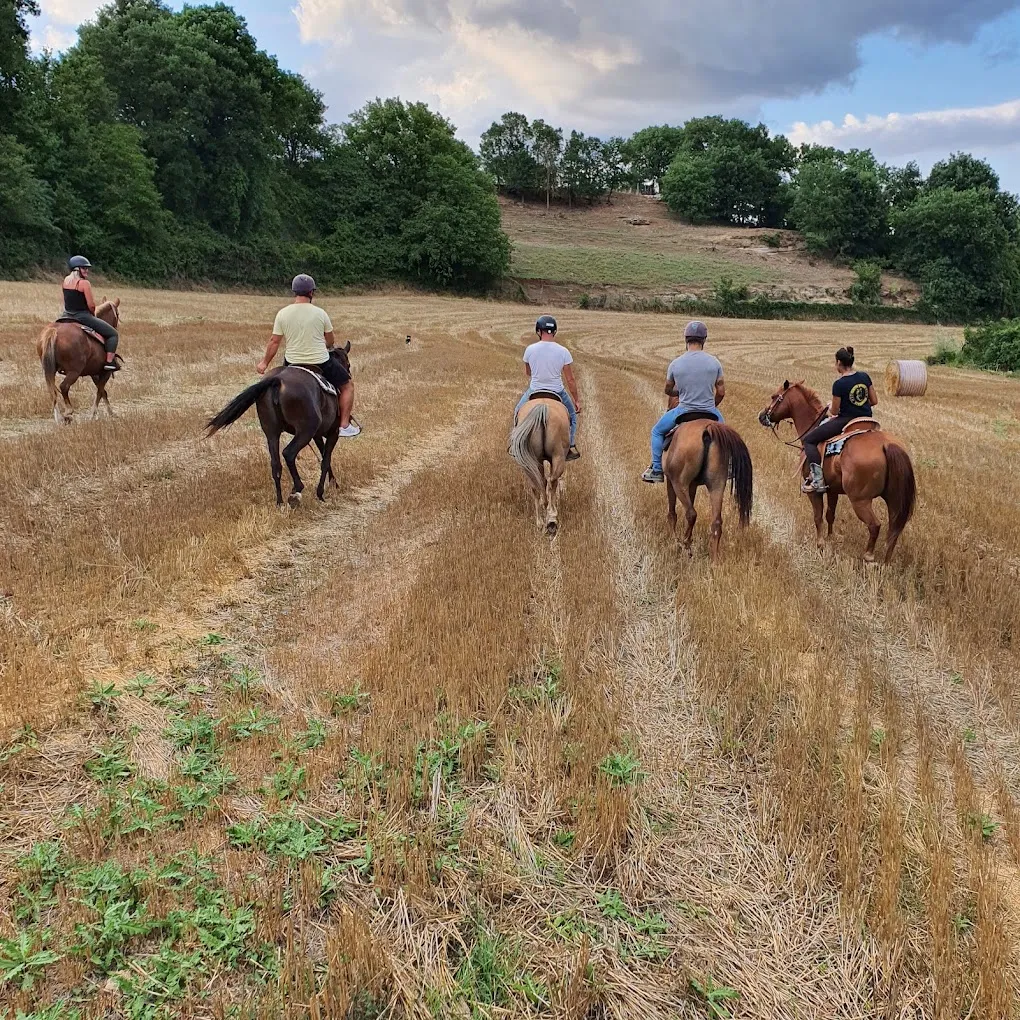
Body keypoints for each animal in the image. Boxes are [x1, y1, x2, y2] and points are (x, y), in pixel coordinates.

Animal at [204, 345, 352, 508]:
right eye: (348, 364)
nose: (348, 372)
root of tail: (277, 380)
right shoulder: (333, 432)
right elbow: (325, 459)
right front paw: (322, 492)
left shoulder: (318, 435)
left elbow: (324, 455)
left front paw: (332, 483)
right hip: (305, 431)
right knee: (289, 453)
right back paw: (296, 491)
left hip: (272, 432)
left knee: (276, 464)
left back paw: (280, 501)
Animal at [508, 394, 571, 535]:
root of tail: (542, 408)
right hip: (558, 456)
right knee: (551, 482)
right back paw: (551, 517)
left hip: (531, 461)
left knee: (538, 485)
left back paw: (541, 522)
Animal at [662, 414, 753, 561]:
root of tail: (708, 429)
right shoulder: (692, 484)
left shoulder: (671, 481)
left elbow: (672, 513)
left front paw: (673, 539)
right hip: (717, 486)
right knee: (716, 523)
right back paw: (714, 559)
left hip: (679, 483)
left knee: (691, 513)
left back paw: (685, 544)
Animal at [758, 380, 916, 564]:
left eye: (774, 397)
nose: (761, 416)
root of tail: (886, 445)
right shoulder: (832, 490)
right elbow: (830, 515)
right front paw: (830, 538)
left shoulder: (815, 492)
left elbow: (818, 516)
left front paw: (820, 544)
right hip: (893, 499)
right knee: (894, 530)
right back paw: (886, 562)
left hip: (860, 501)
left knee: (875, 525)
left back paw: (868, 556)